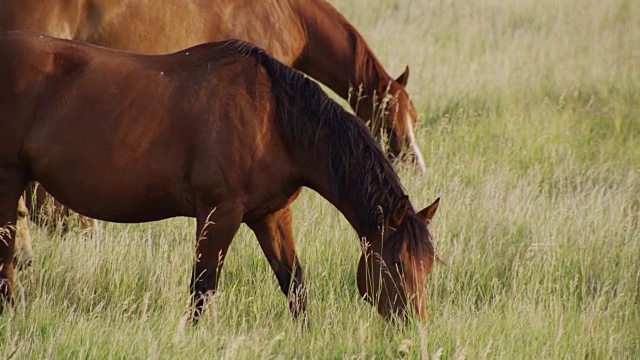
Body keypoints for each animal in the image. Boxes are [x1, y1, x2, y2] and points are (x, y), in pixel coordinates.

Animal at [0, 31, 440, 320]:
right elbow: (203, 288)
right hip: (8, 180)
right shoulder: (219, 213)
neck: (273, 119)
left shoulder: (272, 217)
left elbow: (295, 286)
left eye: (429, 264)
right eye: (396, 263)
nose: (413, 327)